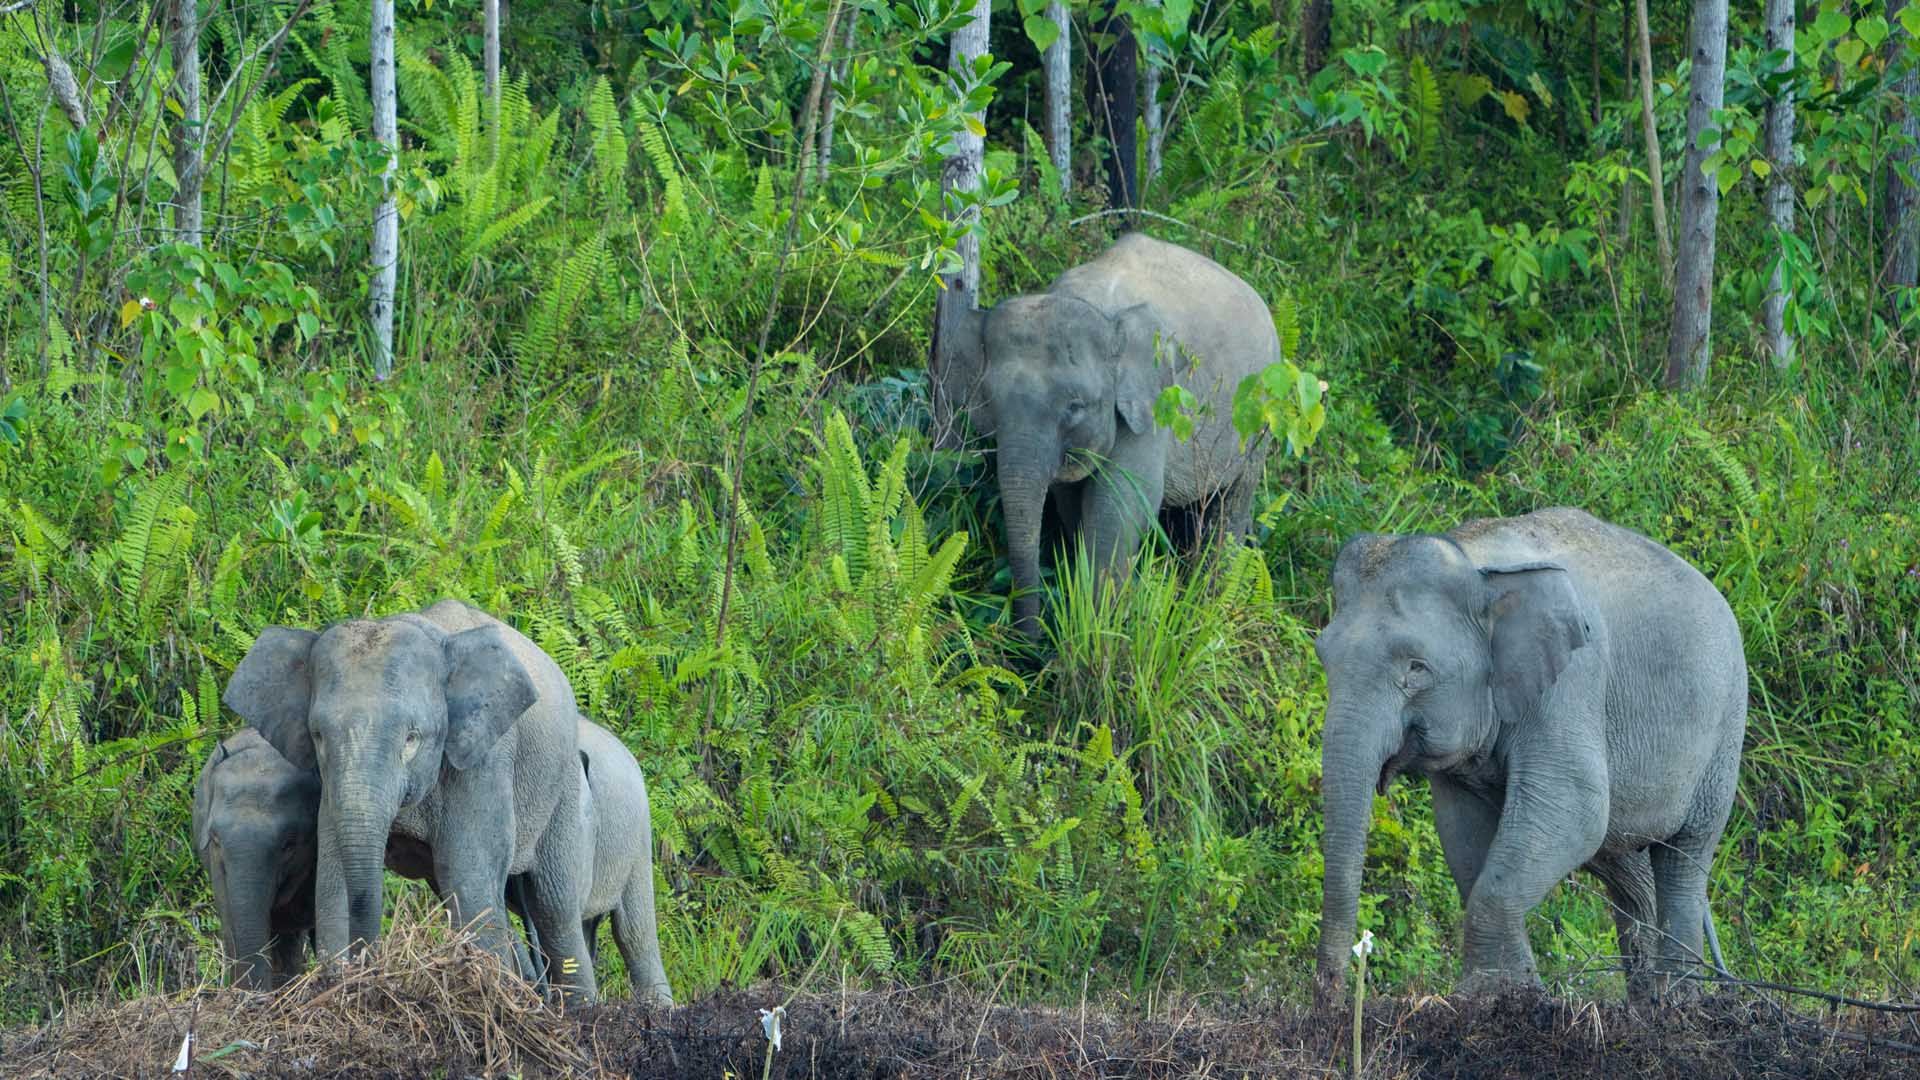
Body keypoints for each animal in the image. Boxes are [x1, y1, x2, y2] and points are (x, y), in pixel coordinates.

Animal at [222, 598, 601, 1002]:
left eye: (412, 738)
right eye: (318, 736)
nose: (369, 964)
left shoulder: (485, 758)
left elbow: (468, 876)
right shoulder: (331, 784)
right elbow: (332, 878)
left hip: (565, 790)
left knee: (555, 911)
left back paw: (577, 1009)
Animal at [939, 232, 1282, 638]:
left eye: (1075, 406)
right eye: (989, 401)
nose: (1027, 641)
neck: (1099, 310)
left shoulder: (1153, 404)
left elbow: (1121, 504)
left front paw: (1098, 628)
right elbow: (1073, 502)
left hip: (1261, 419)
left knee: (1232, 503)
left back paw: (1211, 606)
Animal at [1313, 507, 1746, 1003]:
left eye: (1416, 668)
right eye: (1322, 655)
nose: (1332, 995)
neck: (1474, 558)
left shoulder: (1574, 679)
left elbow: (1575, 807)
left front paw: (1497, 996)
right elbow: (1463, 832)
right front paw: (1506, 991)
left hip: (1725, 730)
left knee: (1685, 857)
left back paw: (1679, 1004)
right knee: (1627, 869)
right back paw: (1646, 1004)